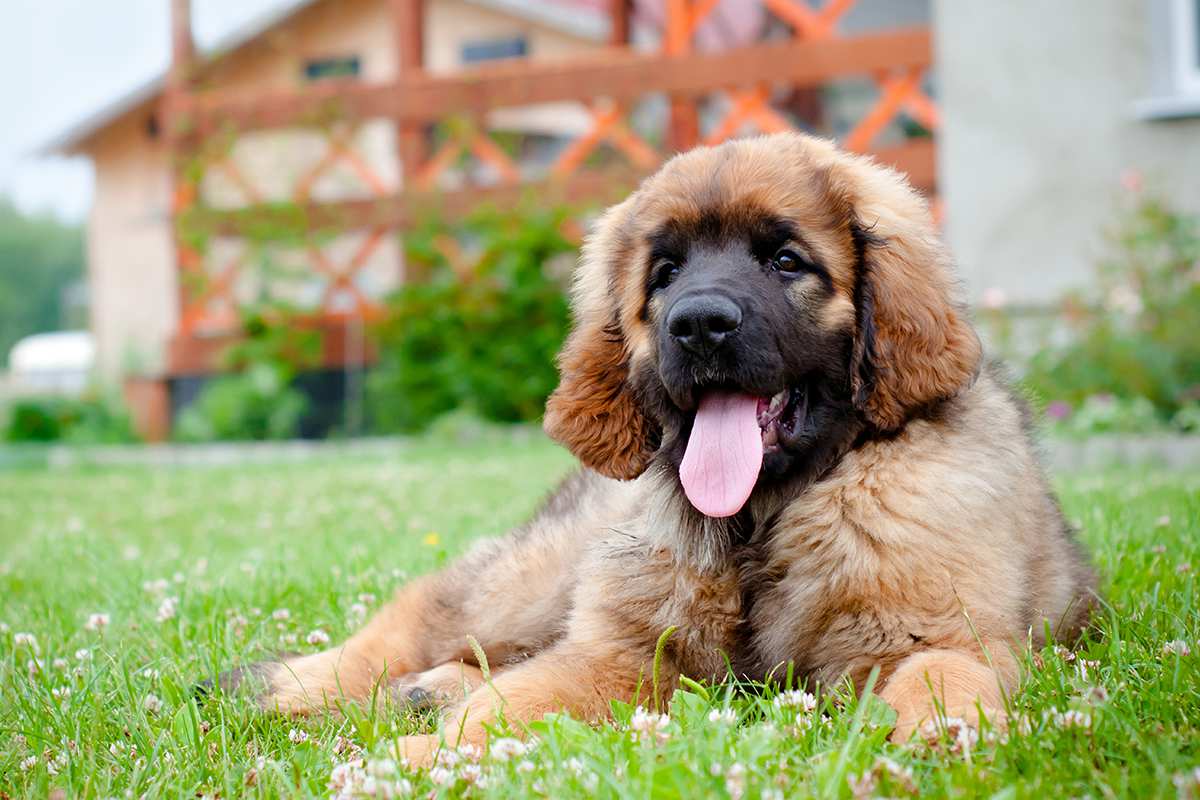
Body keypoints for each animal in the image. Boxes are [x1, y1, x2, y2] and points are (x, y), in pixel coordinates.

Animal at [208, 131, 1099, 762]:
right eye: (664, 273)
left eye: (786, 261)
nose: (698, 324)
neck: (761, 522)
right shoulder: (624, 652)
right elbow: (511, 705)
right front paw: (425, 758)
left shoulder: (934, 633)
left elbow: (946, 678)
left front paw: (939, 740)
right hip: (529, 581)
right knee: (422, 616)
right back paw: (286, 691)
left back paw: (421, 692)